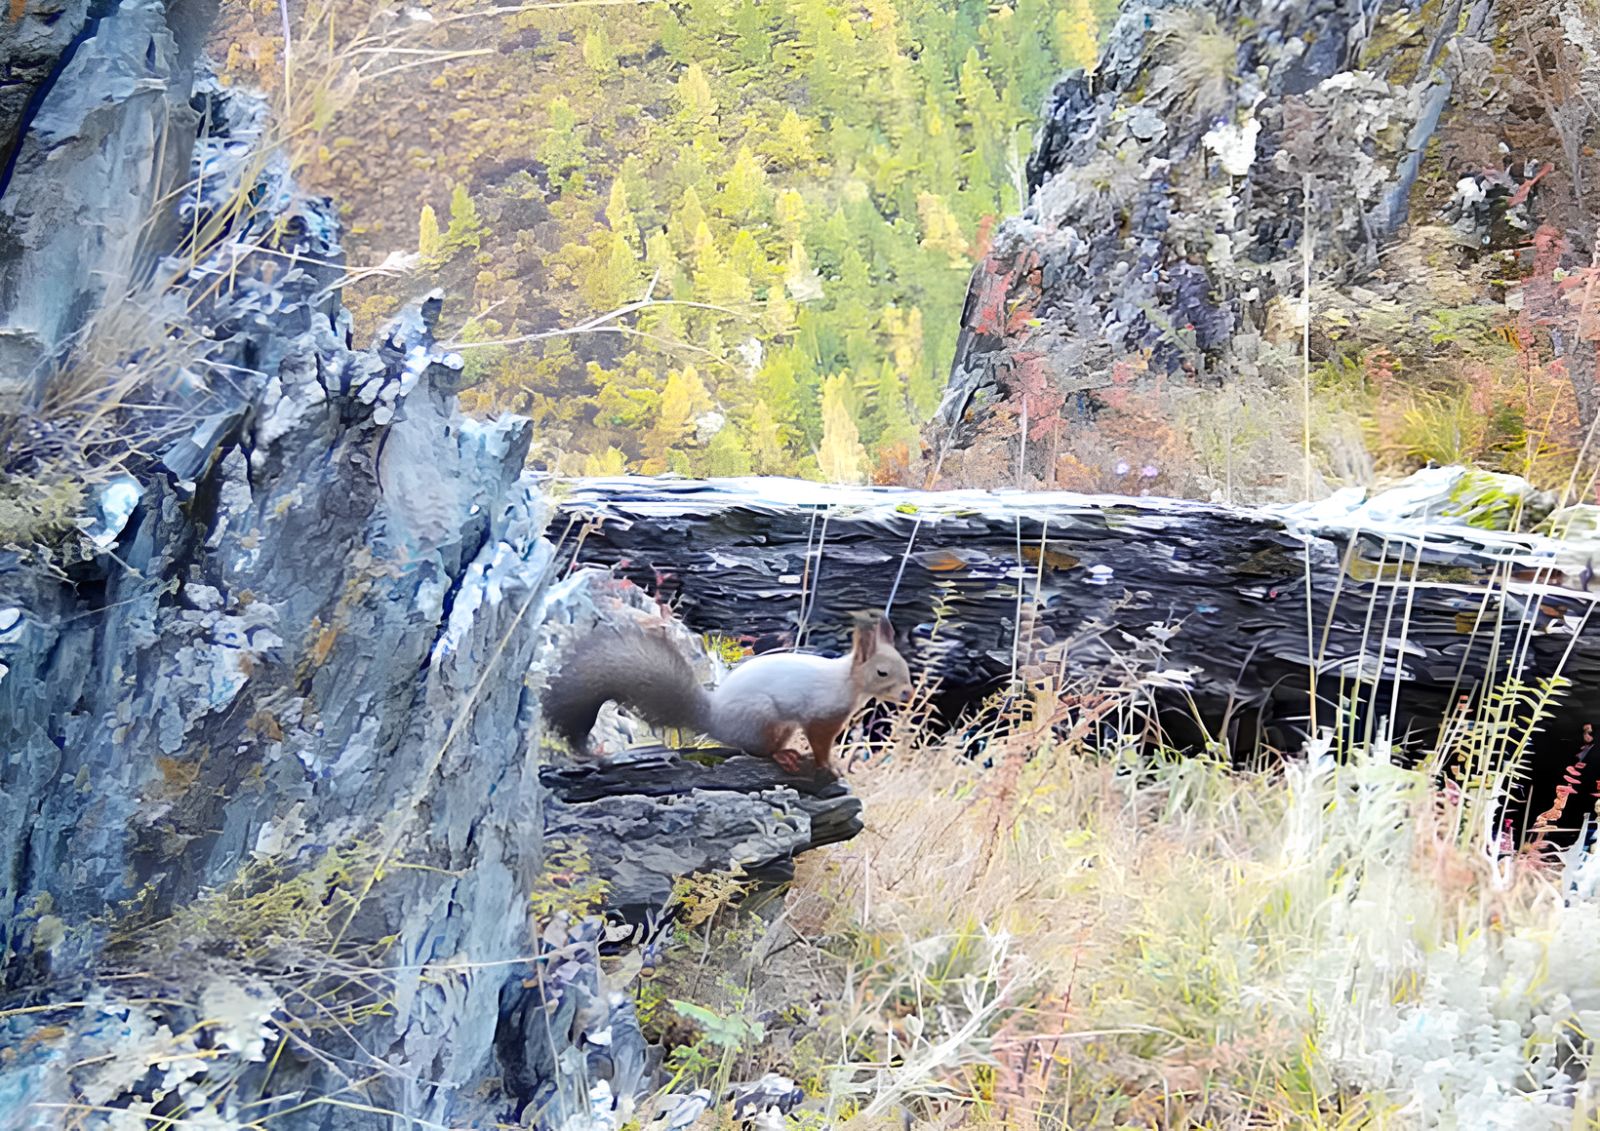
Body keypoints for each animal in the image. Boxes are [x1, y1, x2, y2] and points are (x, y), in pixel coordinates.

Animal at [544, 611, 915, 777]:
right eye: (882, 672)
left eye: (906, 667)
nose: (909, 695)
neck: (847, 683)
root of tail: (714, 718)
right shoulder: (820, 716)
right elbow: (821, 743)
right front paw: (830, 766)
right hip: (763, 717)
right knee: (756, 750)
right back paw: (783, 757)